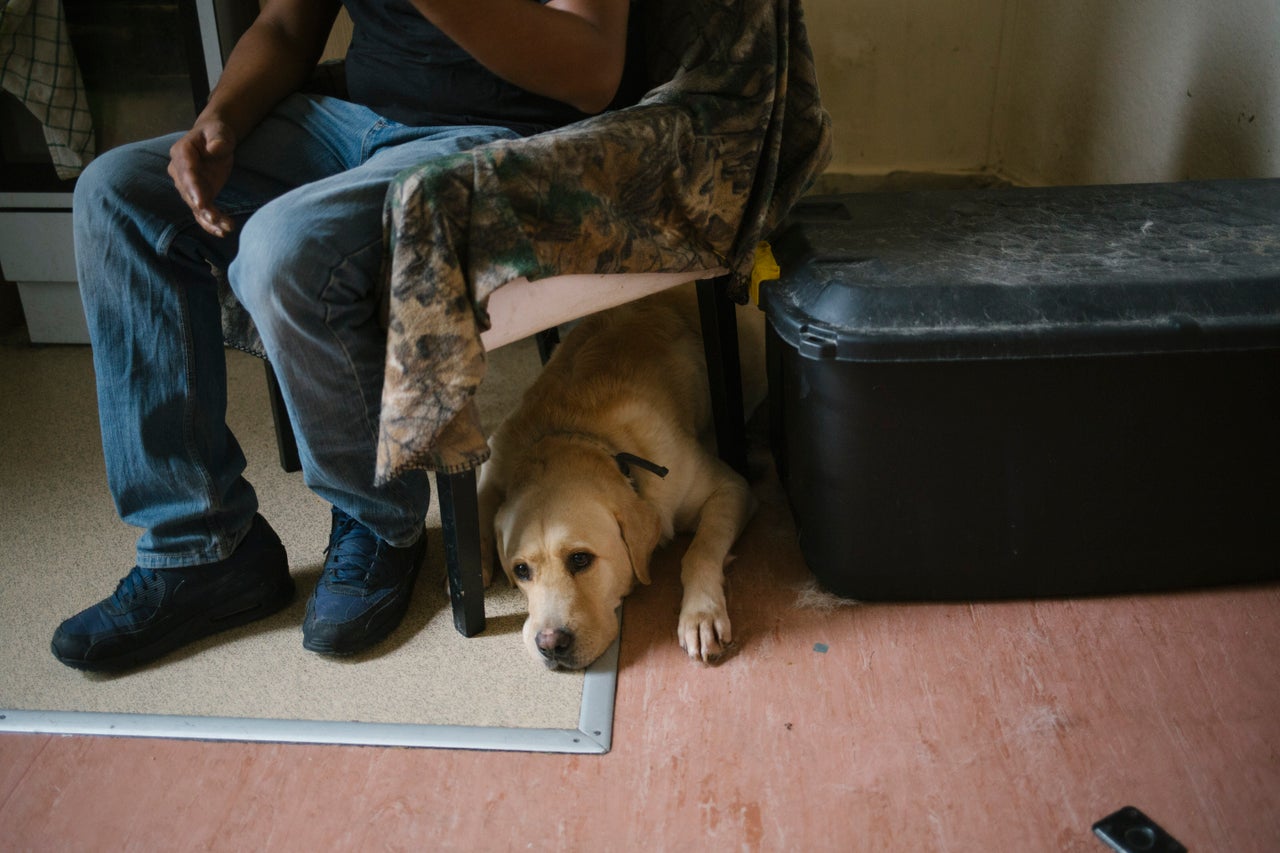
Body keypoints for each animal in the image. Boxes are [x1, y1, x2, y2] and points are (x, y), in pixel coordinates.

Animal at [478, 285, 757, 671]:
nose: (550, 645)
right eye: (521, 570)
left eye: (580, 559)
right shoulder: (495, 453)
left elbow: (701, 549)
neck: (579, 432)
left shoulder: (730, 486)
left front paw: (700, 615)